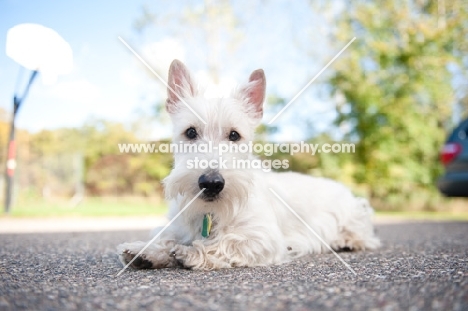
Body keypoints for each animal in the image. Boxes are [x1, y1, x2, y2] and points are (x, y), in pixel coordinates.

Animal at [118, 60, 380, 270]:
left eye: (234, 135)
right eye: (190, 132)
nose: (211, 183)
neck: (211, 213)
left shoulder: (262, 238)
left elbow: (225, 242)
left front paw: (191, 253)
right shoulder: (178, 226)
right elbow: (166, 237)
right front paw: (146, 251)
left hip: (354, 214)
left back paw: (347, 241)